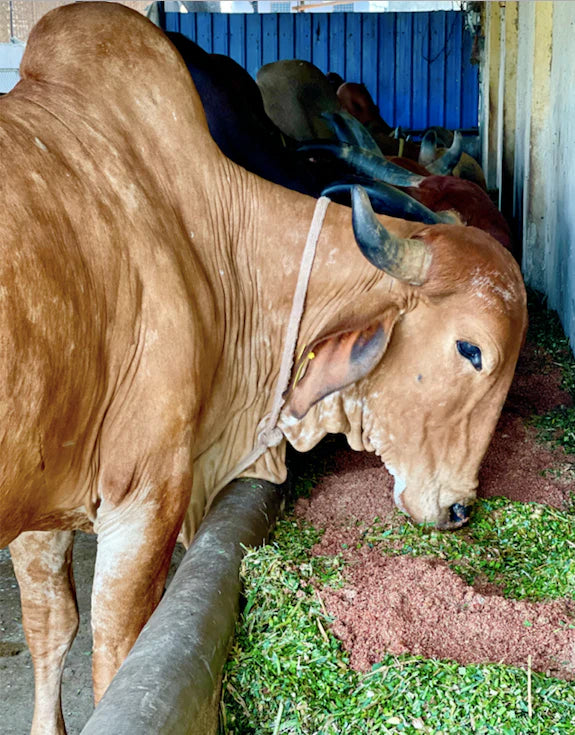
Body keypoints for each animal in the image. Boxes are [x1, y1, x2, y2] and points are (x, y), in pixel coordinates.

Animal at [0, 4, 526, 734]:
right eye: (471, 349)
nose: (457, 509)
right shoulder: (145, 500)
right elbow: (113, 657)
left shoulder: (42, 505)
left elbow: (52, 627)